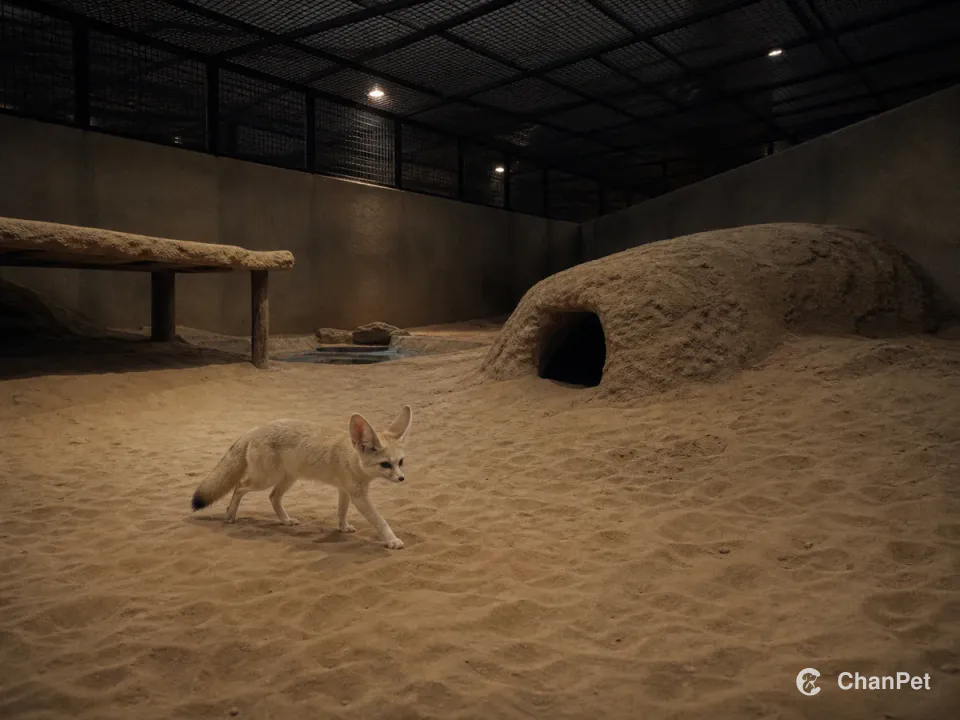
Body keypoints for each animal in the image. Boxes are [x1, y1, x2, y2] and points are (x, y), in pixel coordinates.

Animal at [190, 405, 412, 549]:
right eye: (385, 464)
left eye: (400, 462)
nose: (401, 479)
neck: (352, 458)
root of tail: (255, 429)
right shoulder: (359, 496)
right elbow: (380, 520)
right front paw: (392, 540)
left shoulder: (345, 491)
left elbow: (341, 512)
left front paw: (342, 528)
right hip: (264, 479)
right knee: (239, 486)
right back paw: (230, 514)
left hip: (287, 479)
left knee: (273, 497)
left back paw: (285, 520)